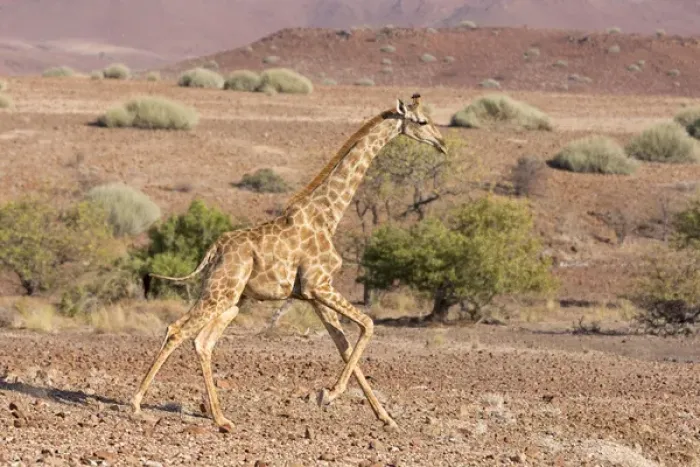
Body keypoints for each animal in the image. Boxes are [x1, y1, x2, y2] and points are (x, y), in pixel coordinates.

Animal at [131, 93, 447, 432]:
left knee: (203, 341)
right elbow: (369, 324)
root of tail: (215, 248)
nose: (442, 143)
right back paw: (136, 404)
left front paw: (384, 417)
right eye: (422, 121)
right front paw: (328, 394)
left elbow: (344, 345)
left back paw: (222, 419)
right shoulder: (318, 285)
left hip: (233, 300)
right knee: (177, 329)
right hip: (221, 292)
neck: (329, 215)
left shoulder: (315, 294)